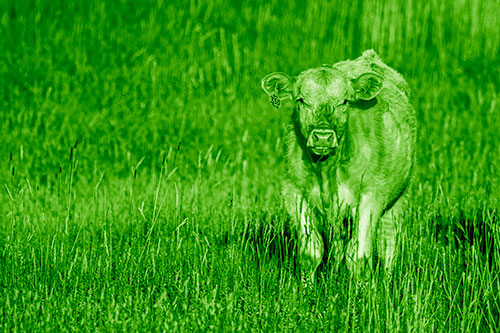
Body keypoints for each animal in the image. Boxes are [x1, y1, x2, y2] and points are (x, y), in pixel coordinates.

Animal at [260, 48, 416, 278]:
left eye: (344, 101)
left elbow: (359, 256)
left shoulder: (370, 197)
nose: (323, 136)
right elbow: (310, 253)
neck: (326, 170)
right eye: (301, 100)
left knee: (389, 243)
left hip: (400, 196)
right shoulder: (295, 193)